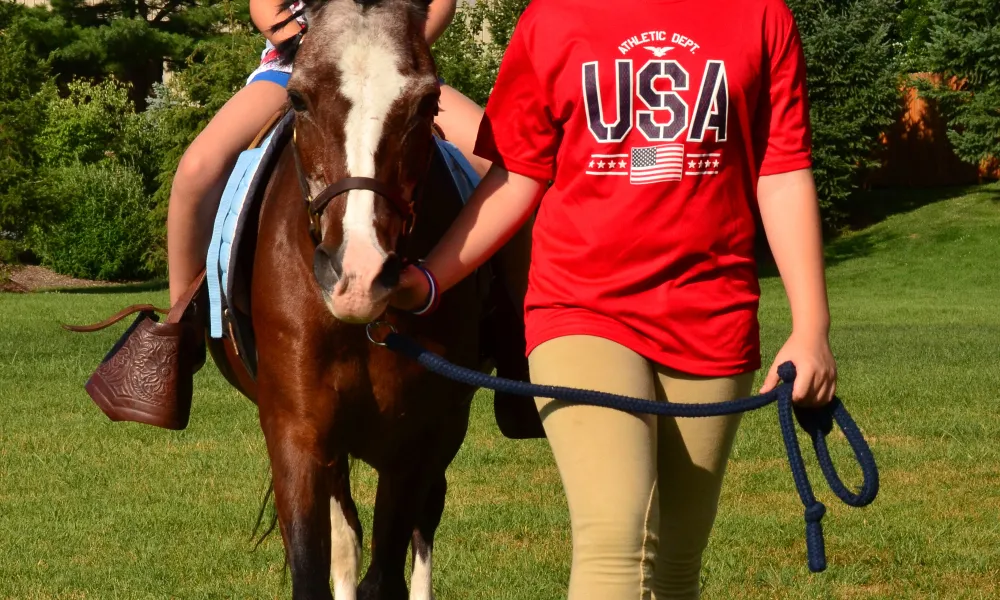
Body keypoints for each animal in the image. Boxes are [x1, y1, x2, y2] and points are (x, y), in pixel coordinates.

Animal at [243, 2, 500, 596]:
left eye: (428, 102)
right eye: (298, 99)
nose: (358, 276)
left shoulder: (414, 441)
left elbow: (387, 571)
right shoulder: (296, 431)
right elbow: (321, 566)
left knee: (423, 526)